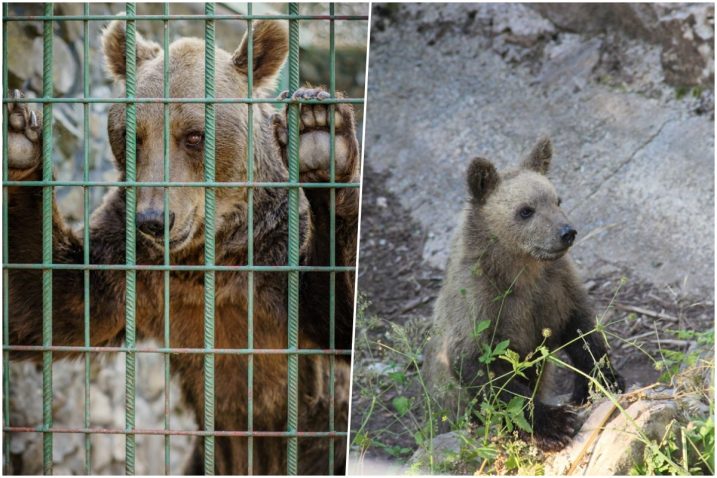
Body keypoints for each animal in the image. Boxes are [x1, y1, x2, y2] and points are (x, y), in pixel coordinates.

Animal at [7, 17, 358, 474]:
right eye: (133, 135)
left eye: (193, 136)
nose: (155, 220)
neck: (206, 255)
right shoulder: (133, 264)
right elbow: (49, 309)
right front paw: (21, 137)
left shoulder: (273, 252)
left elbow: (336, 316)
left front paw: (320, 136)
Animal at [422, 138, 624, 452]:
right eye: (526, 210)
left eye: (557, 200)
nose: (567, 232)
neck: (520, 268)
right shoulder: (480, 303)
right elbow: (483, 367)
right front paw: (553, 424)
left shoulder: (555, 286)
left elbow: (582, 330)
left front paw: (603, 381)